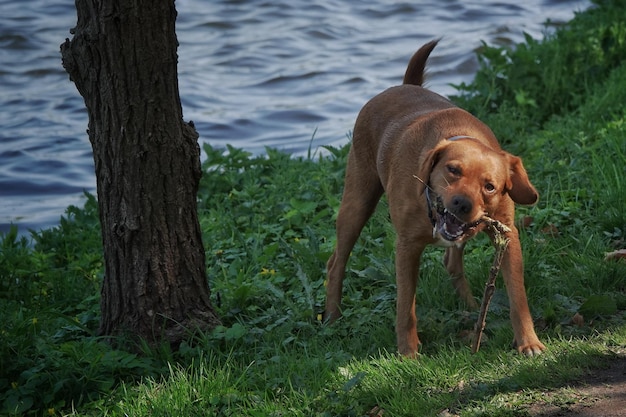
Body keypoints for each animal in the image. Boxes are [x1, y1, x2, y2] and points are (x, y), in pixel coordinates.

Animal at [324, 40, 544, 356]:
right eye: (453, 170)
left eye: (490, 186)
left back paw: (470, 306)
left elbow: (518, 297)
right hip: (357, 203)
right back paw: (331, 316)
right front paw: (408, 352)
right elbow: (406, 307)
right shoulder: (406, 247)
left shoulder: (507, 236)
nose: (462, 204)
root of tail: (404, 85)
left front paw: (528, 341)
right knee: (336, 263)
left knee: (452, 262)